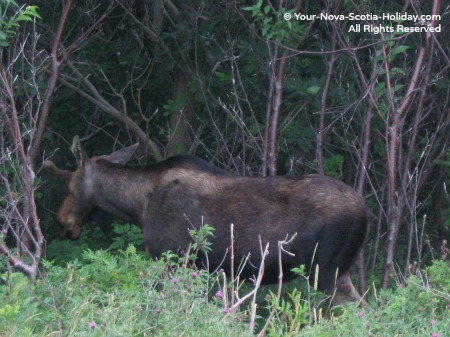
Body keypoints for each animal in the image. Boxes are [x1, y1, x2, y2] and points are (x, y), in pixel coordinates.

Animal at [44, 135, 370, 304]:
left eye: (70, 187)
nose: (61, 222)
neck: (137, 206)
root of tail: (366, 213)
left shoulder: (173, 258)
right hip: (338, 273)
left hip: (327, 272)